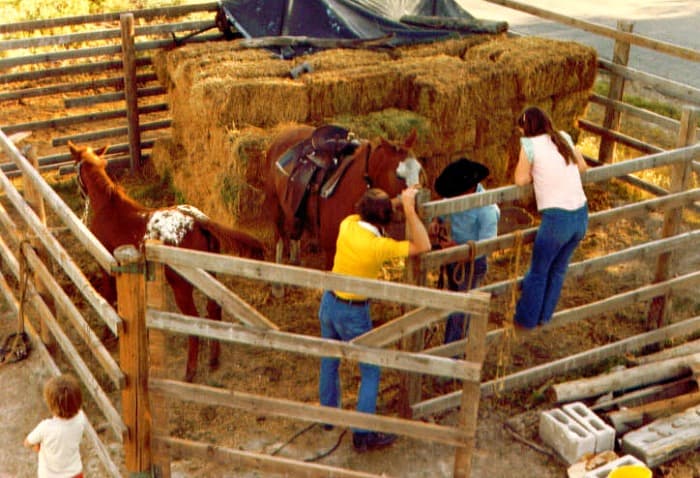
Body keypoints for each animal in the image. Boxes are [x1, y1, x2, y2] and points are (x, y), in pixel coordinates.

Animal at [69, 141, 266, 380]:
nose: (80, 193)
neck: (109, 207)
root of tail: (198, 221)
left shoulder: (106, 266)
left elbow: (108, 297)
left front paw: (107, 333)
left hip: (181, 285)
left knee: (194, 321)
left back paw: (190, 371)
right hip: (209, 277)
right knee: (213, 310)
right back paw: (213, 360)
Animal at [264, 124, 422, 272]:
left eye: (419, 170)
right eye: (398, 175)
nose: (416, 206)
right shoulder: (330, 250)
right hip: (276, 209)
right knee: (279, 241)